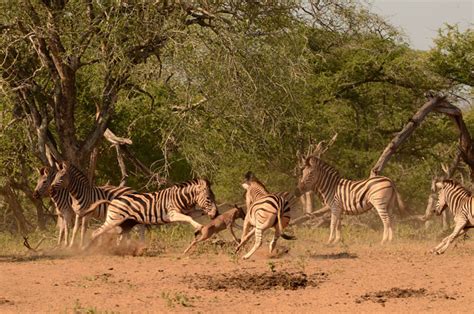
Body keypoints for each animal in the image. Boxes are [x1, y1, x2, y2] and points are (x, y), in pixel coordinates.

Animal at [78, 179, 218, 248]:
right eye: (208, 198)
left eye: (214, 197)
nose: (216, 214)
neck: (181, 198)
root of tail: (112, 200)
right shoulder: (172, 214)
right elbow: (189, 218)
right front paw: (199, 227)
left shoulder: (189, 211)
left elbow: (197, 214)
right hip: (113, 220)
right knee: (96, 232)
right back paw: (86, 249)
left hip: (123, 224)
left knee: (107, 233)